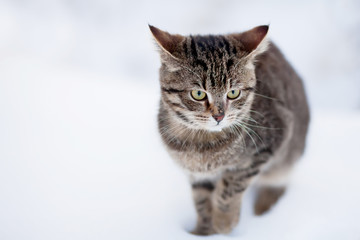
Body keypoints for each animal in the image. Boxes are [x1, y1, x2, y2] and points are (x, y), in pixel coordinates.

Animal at [149, 24, 310, 236]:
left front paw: (224, 221)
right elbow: (201, 201)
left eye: (233, 93)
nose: (219, 116)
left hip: (286, 159)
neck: (199, 142)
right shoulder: (197, 175)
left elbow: (230, 186)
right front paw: (203, 232)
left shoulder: (270, 142)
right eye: (198, 94)